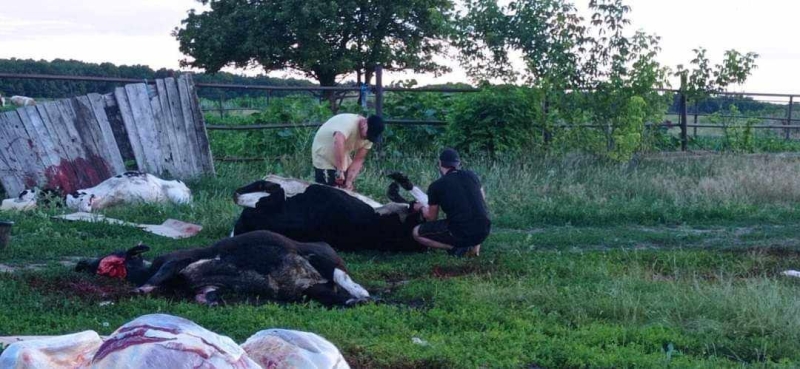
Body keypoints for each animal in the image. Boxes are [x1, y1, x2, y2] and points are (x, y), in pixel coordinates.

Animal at [76, 230, 370, 304]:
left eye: (111, 258)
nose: (81, 262)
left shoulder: (176, 259)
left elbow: (160, 273)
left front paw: (141, 290)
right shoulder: (205, 288)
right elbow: (206, 297)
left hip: (324, 258)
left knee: (347, 283)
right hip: (312, 289)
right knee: (342, 298)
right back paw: (357, 301)